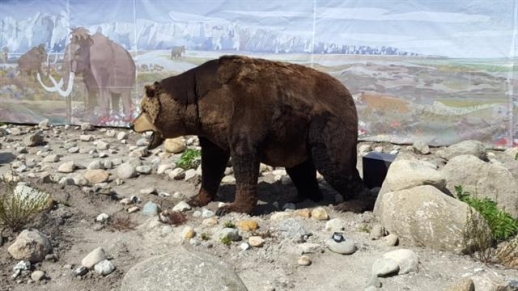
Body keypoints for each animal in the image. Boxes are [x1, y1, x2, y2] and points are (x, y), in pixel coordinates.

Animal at [131, 54, 374, 216]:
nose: (132, 124)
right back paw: (304, 196)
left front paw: (233, 207)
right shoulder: (211, 131)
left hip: (325, 124)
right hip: (296, 136)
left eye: (143, 109)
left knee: (333, 163)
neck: (201, 103)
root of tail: (348, 94)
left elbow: (243, 159)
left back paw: (352, 203)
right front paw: (197, 198)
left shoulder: (245, 111)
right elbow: (211, 162)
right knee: (300, 167)